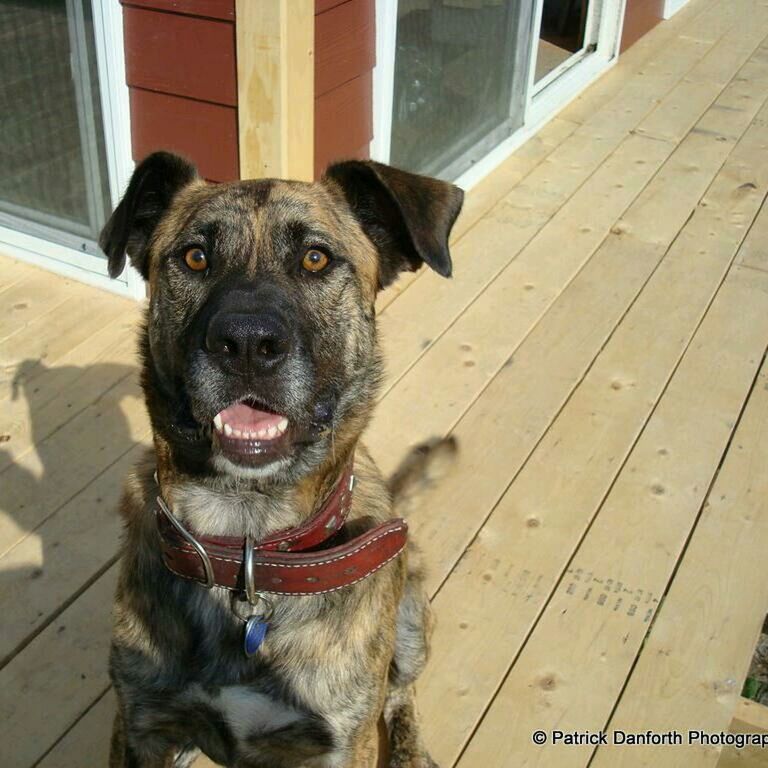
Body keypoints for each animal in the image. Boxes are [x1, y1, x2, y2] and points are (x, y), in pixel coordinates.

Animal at [100, 152, 462, 768]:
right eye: (195, 257)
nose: (246, 344)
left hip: (412, 621)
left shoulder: (341, 743)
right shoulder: (138, 725)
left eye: (316, 258)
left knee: (401, 694)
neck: (246, 538)